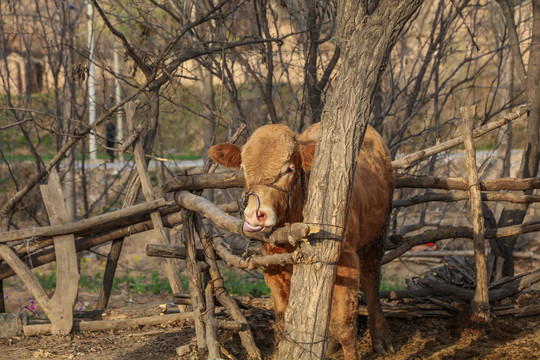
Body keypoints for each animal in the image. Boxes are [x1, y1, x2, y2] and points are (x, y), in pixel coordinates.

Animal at [209, 123, 394, 358]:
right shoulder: (274, 266)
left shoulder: (346, 258)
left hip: (377, 234)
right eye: (243, 168)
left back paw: (381, 339)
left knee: (371, 282)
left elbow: (345, 324)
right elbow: (282, 317)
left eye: (288, 169)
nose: (255, 215)